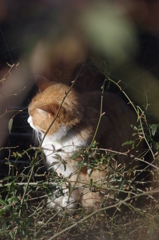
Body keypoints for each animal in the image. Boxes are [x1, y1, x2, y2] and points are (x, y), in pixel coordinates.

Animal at [27, 75, 143, 210]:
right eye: (29, 113)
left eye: (33, 118)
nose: (28, 121)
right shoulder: (61, 171)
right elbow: (63, 187)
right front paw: (59, 202)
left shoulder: (74, 173)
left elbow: (70, 191)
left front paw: (67, 207)